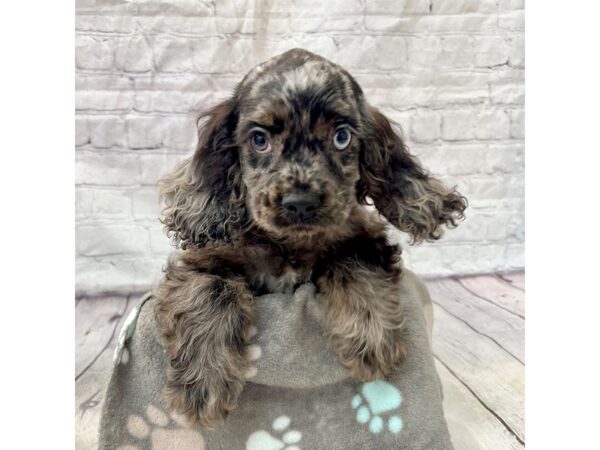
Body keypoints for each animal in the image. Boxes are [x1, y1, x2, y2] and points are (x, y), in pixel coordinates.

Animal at [152, 49, 466, 428]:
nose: (300, 203)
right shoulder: (205, 259)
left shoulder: (363, 235)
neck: (291, 246)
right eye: (260, 139)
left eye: (342, 137)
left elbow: (355, 260)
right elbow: (211, 290)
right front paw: (203, 385)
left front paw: (371, 339)